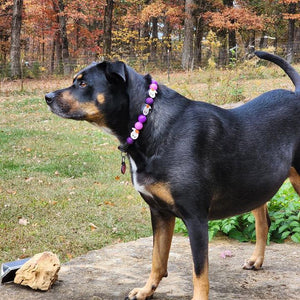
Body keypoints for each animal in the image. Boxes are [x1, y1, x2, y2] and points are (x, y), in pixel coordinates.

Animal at [45, 52, 300, 300]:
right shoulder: (160, 213)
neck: (147, 122)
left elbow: (200, 273)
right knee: (263, 222)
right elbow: (157, 259)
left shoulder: (196, 218)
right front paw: (146, 291)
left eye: (83, 83)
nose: (47, 97)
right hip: (255, 185)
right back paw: (256, 260)